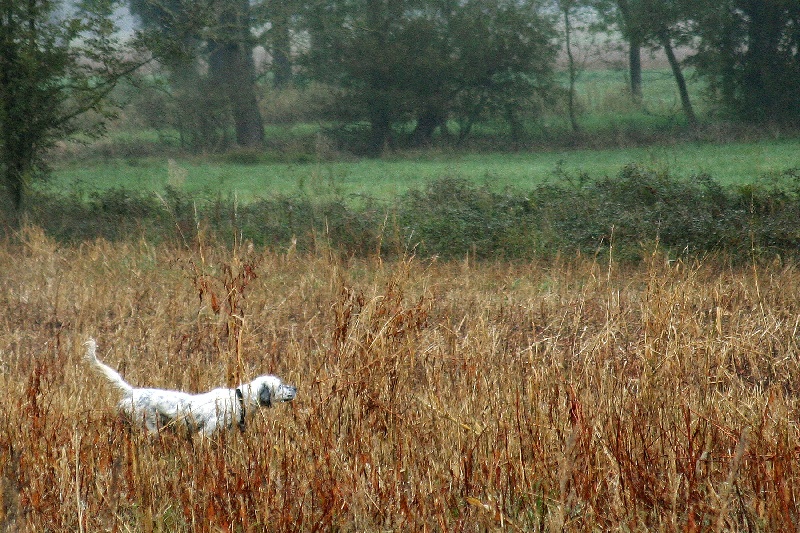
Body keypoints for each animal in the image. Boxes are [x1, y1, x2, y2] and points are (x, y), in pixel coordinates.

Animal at [85, 336, 296, 436]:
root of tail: (133, 391)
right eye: (280, 385)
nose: (295, 388)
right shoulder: (206, 432)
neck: (239, 398)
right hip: (151, 427)